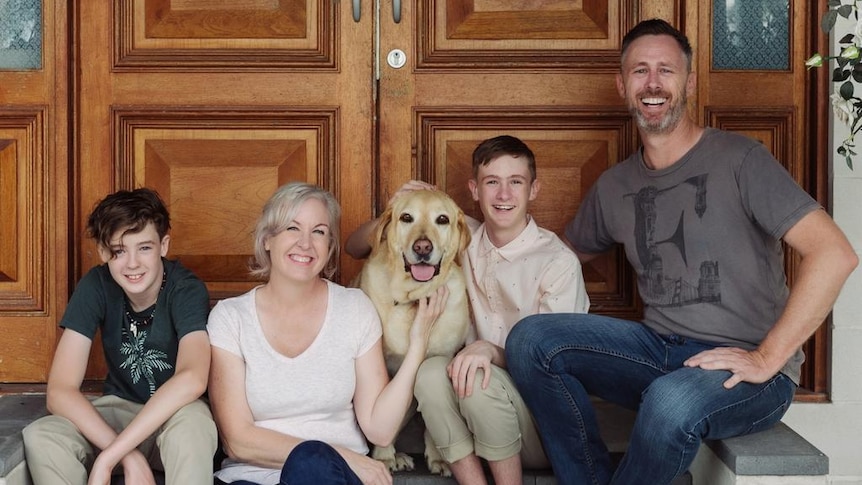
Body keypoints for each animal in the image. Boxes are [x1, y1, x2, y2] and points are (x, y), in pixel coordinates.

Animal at [354, 190, 472, 476]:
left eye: (442, 219)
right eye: (407, 217)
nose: (422, 247)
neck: (414, 300)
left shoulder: (437, 360)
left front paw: (438, 458)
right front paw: (384, 457)